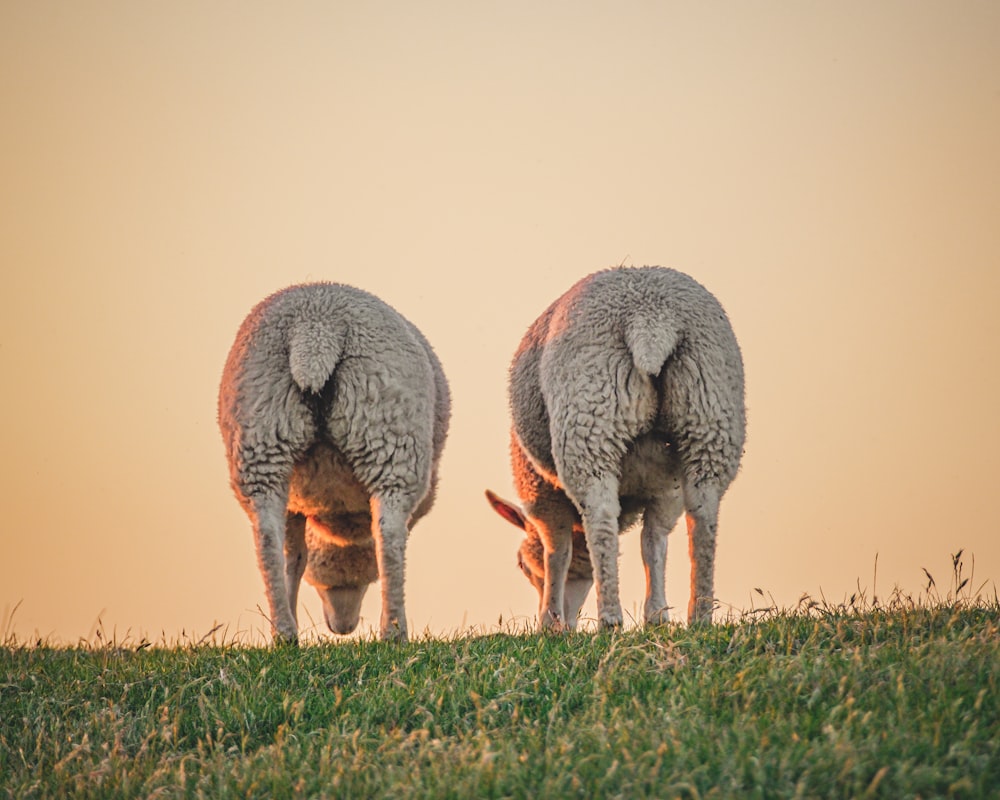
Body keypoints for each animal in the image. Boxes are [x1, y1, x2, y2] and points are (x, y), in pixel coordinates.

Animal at [223, 282, 454, 644]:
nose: (342, 628)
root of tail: (316, 330)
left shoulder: (296, 503)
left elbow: (295, 557)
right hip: (391, 436)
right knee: (389, 538)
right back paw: (394, 631)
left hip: (261, 434)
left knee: (268, 540)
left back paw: (284, 632)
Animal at [484, 266, 744, 628]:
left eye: (522, 564)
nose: (568, 622)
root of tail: (650, 320)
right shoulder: (666, 486)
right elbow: (654, 543)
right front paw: (657, 615)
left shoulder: (542, 496)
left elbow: (557, 552)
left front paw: (549, 622)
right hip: (708, 411)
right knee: (702, 516)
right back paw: (700, 615)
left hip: (591, 415)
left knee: (602, 517)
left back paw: (609, 618)